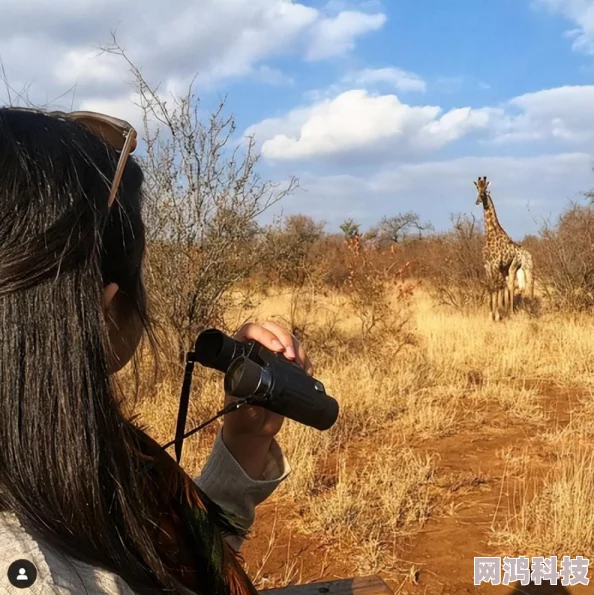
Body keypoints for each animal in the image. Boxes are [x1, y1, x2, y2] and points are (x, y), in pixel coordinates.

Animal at [472, 177, 532, 322]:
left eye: (485, 188)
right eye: (477, 188)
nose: (479, 199)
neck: (490, 234)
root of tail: (520, 252)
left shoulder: (495, 264)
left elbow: (495, 287)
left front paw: (497, 315)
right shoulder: (487, 265)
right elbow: (490, 287)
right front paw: (491, 315)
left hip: (513, 266)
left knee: (511, 285)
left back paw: (511, 312)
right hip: (505, 269)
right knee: (506, 286)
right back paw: (507, 311)